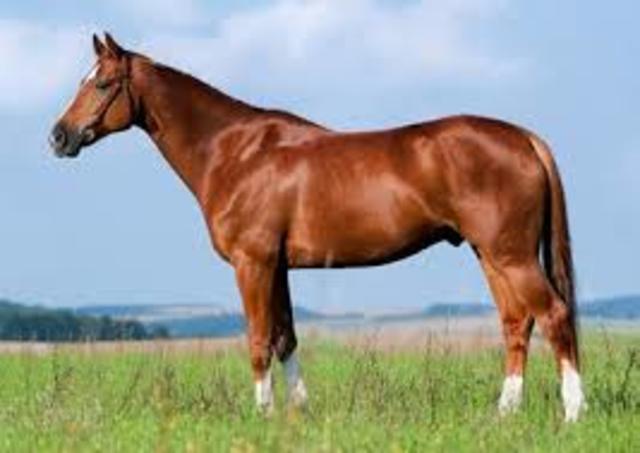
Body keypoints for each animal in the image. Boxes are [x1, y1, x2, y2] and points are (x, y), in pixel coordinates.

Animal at [50, 33, 585, 421]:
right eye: (83, 79)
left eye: (102, 84)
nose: (59, 136)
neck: (234, 151)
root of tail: (524, 138)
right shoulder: (279, 267)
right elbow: (285, 338)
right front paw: (298, 413)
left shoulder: (253, 262)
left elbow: (258, 340)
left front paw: (263, 416)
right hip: (490, 254)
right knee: (517, 322)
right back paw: (505, 413)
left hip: (510, 255)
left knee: (554, 315)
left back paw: (573, 412)